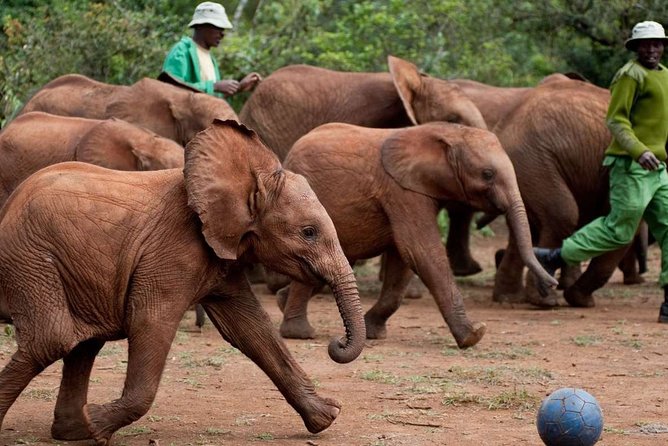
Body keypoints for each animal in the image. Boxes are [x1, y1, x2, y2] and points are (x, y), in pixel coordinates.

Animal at [277, 121, 558, 348]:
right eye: (487, 174)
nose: (552, 285)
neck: (446, 132)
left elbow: (402, 261)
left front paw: (373, 333)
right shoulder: (402, 191)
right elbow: (420, 251)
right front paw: (473, 335)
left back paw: (282, 302)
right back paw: (299, 333)